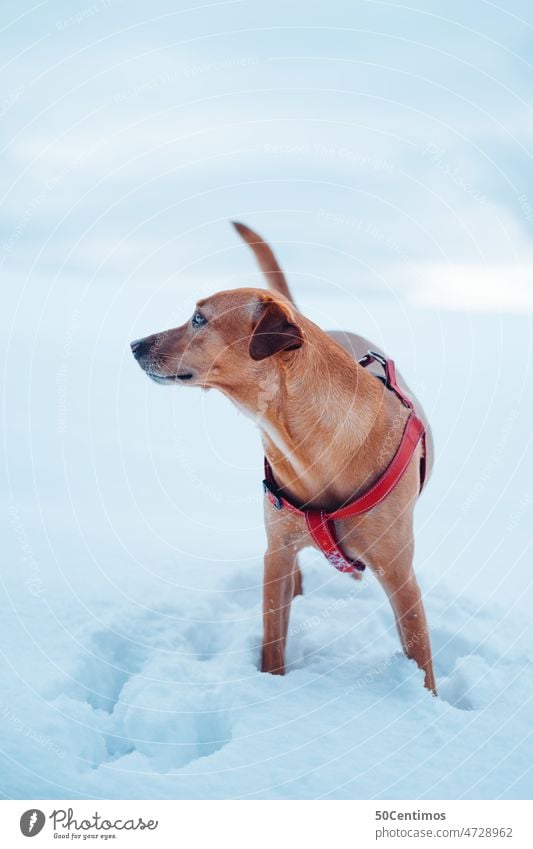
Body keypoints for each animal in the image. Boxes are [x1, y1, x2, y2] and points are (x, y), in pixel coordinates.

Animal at [130, 222, 436, 692]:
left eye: (199, 318)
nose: (134, 345)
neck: (311, 448)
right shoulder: (275, 553)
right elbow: (273, 640)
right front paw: (271, 683)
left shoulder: (401, 576)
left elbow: (421, 660)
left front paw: (430, 703)